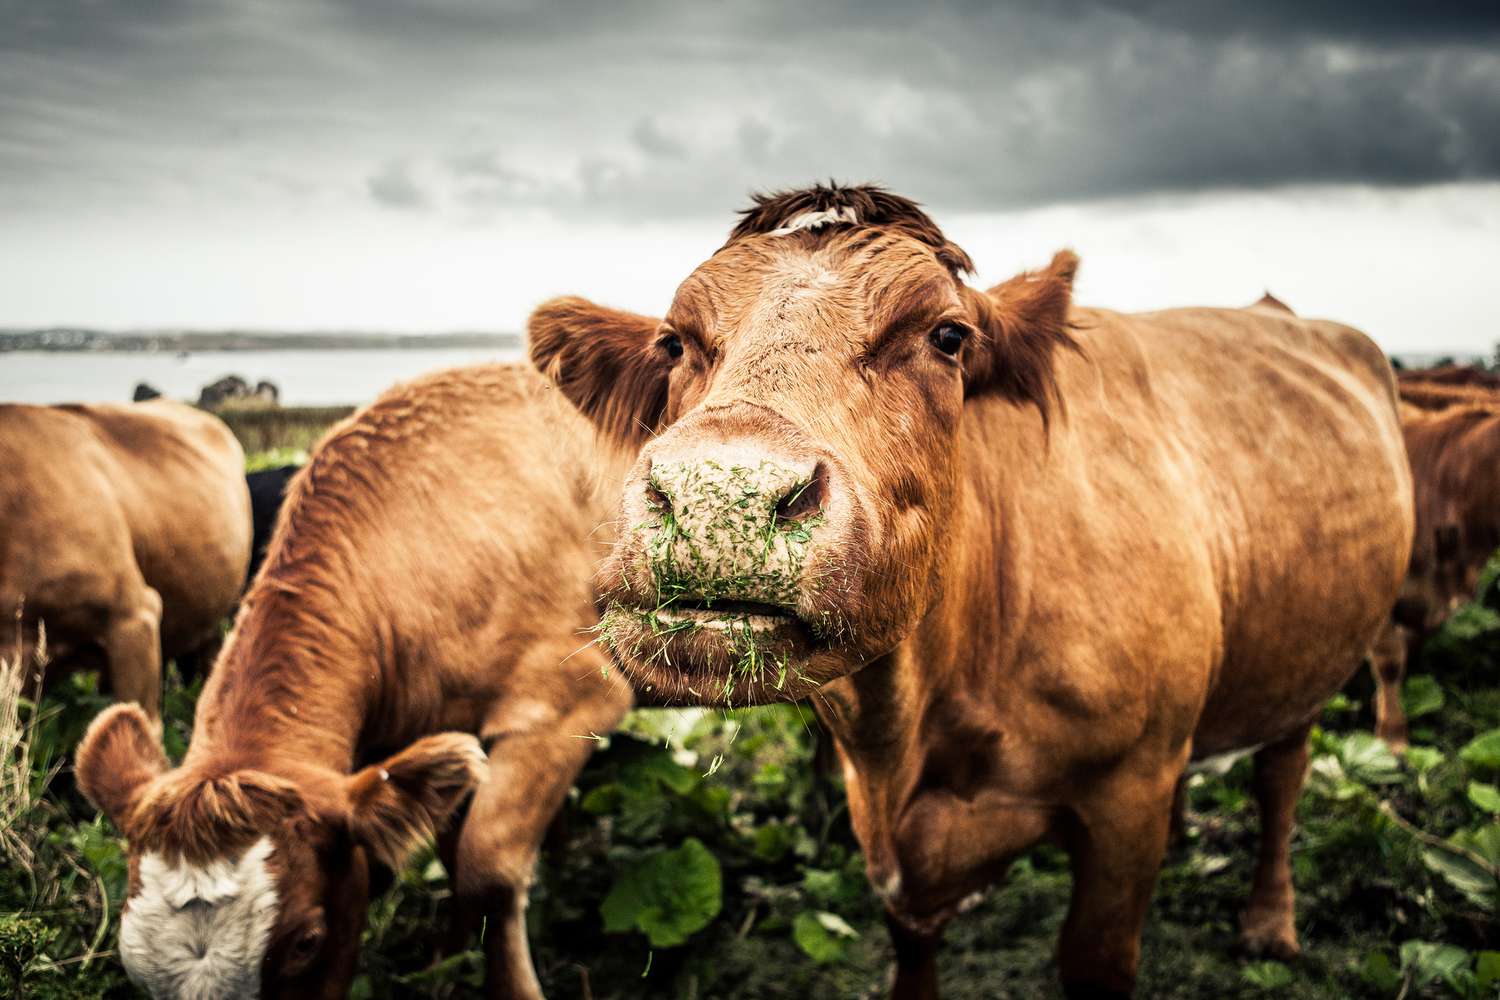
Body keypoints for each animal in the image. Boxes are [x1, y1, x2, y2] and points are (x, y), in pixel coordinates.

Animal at [74, 365, 634, 999]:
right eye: (133, 966)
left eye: (306, 941)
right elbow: (453, 854)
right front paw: (443, 960)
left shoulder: (574, 697)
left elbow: (486, 869)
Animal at [527, 183, 1414, 998]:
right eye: (674, 343)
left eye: (948, 336)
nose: (721, 495)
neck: (914, 726)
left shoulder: (1127, 795)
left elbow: (1097, 958)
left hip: (1307, 662)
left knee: (1282, 776)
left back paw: (1270, 923)